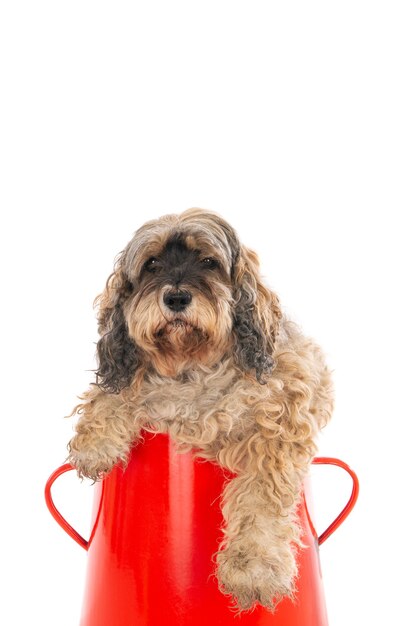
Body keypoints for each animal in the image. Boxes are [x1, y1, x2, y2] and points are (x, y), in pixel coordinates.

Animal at [69, 208, 334, 608]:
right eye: (152, 263)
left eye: (209, 262)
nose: (177, 297)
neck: (192, 367)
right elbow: (114, 394)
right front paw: (94, 444)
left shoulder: (282, 422)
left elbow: (261, 490)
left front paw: (254, 566)